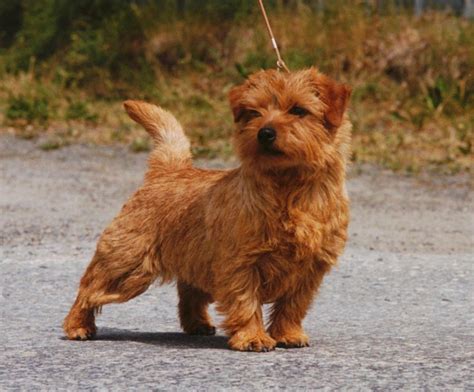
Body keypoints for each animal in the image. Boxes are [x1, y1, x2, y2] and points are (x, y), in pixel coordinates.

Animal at [63, 67, 352, 352]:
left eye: (298, 110)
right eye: (253, 112)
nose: (265, 133)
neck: (290, 189)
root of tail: (168, 170)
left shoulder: (311, 268)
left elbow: (293, 305)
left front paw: (288, 334)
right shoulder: (240, 264)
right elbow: (246, 302)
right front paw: (252, 337)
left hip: (192, 261)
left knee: (187, 292)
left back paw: (197, 324)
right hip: (128, 264)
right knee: (89, 288)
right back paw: (78, 326)